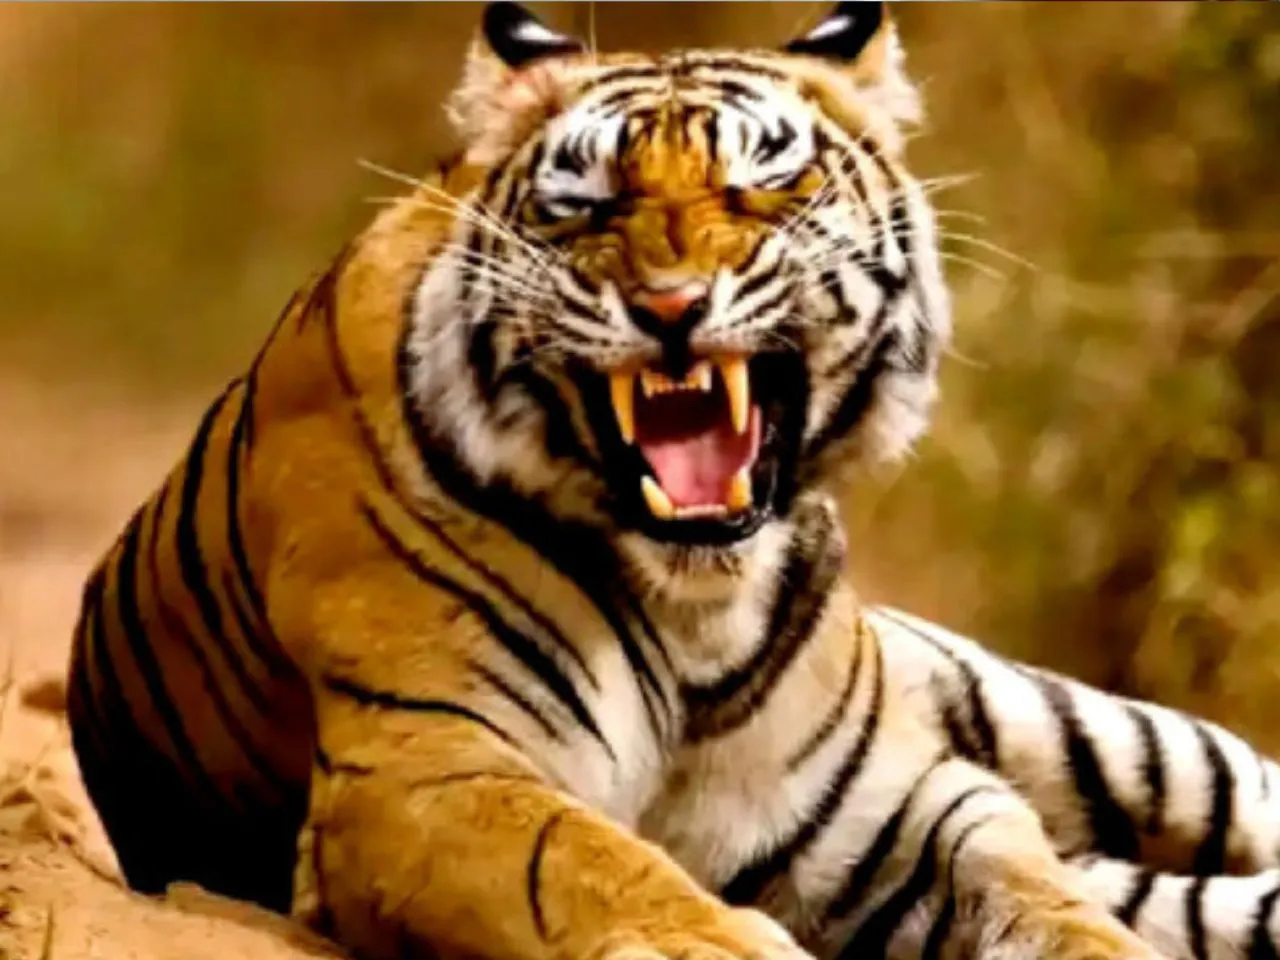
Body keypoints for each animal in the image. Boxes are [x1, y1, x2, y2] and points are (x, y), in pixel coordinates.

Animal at [63, 3, 1280, 960]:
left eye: (766, 183)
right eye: (583, 202)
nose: (669, 305)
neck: (695, 602)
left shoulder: (898, 805)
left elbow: (1044, 897)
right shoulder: (424, 771)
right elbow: (586, 863)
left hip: (1080, 726)